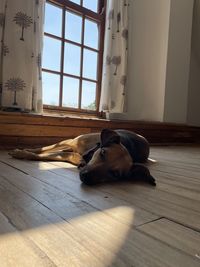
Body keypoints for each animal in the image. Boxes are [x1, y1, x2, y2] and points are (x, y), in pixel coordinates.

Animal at [9, 129, 156, 186]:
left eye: (115, 174)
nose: (85, 176)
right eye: (103, 153)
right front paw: (22, 152)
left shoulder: (70, 154)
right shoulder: (70, 142)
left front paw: (23, 153)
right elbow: (42, 150)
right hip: (69, 142)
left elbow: (47, 155)